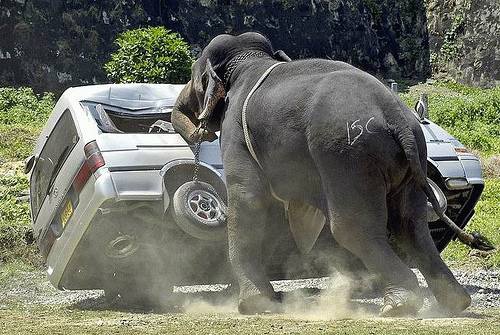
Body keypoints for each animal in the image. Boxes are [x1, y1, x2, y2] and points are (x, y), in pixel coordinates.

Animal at [171, 32, 488, 318]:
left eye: (194, 77)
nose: (198, 131)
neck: (251, 60)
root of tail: (396, 116)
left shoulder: (235, 131)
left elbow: (248, 199)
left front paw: (254, 305)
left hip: (346, 155)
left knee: (352, 226)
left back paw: (399, 305)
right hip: (411, 158)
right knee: (411, 224)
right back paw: (455, 302)